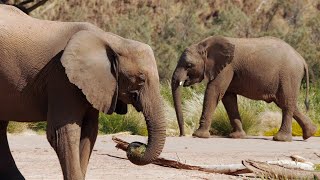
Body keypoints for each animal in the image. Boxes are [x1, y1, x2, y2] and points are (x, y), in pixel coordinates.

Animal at [1, 4, 166, 180]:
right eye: (141, 79)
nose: (135, 145)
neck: (109, 39)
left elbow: (90, 132)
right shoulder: (61, 78)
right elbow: (63, 133)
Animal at [171, 35, 316, 142]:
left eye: (189, 65)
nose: (182, 135)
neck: (204, 44)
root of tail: (302, 59)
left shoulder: (227, 68)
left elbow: (214, 91)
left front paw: (199, 135)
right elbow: (228, 98)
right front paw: (236, 136)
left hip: (289, 75)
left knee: (286, 103)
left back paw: (281, 139)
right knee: (285, 102)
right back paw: (310, 133)